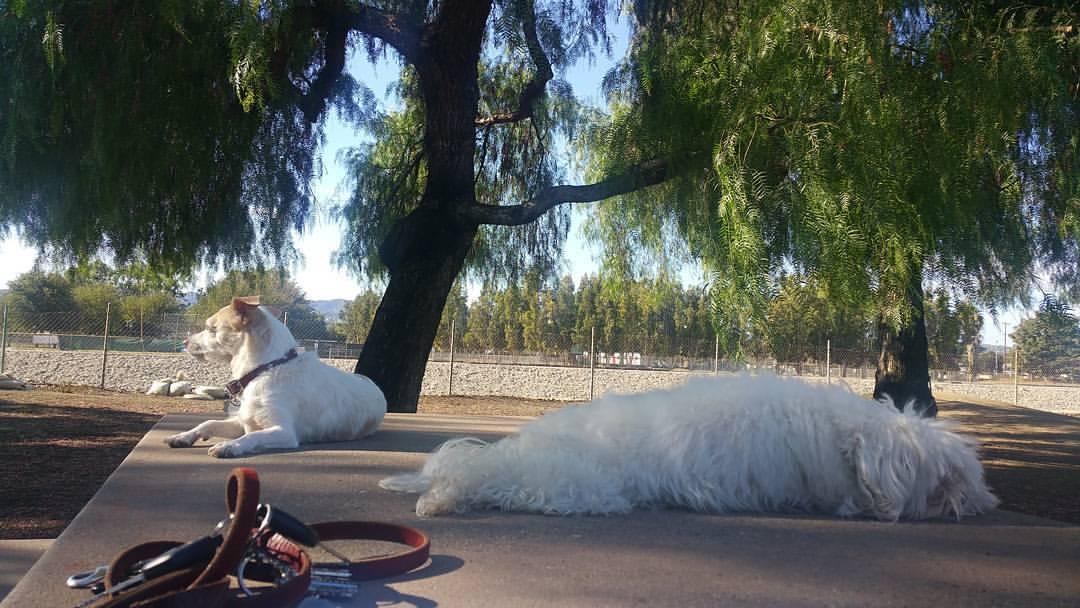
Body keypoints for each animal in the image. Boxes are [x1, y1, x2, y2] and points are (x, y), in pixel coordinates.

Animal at [166, 298, 386, 460]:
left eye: (211, 328)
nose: (184, 341)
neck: (266, 369)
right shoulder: (242, 421)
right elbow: (208, 422)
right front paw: (183, 436)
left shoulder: (284, 432)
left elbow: (252, 436)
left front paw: (230, 445)